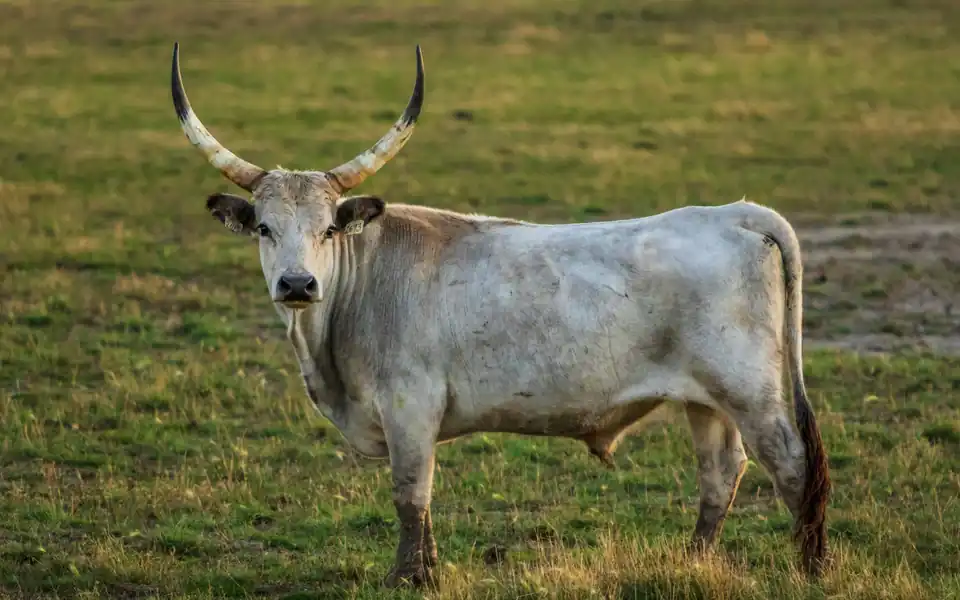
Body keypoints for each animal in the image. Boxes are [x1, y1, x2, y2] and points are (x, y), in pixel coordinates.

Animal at [169, 42, 830, 589]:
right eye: (264, 226)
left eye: (329, 228)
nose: (298, 284)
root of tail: (735, 213)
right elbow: (420, 500)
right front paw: (427, 572)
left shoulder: (410, 408)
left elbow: (410, 494)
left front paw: (408, 578)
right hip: (705, 400)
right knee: (721, 474)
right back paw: (693, 562)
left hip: (750, 392)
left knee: (793, 466)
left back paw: (811, 568)